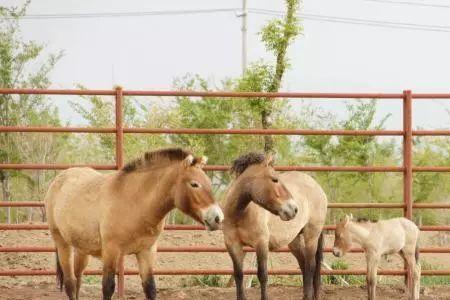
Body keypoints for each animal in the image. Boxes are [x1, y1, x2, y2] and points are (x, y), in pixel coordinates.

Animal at [44, 148, 224, 300]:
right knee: (70, 283)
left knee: (78, 279)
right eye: (194, 184)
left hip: (82, 249)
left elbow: (150, 288)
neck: (134, 202)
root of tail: (59, 178)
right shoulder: (111, 251)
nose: (218, 218)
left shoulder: (146, 251)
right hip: (62, 244)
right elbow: (108, 287)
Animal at [223, 154, 328, 300]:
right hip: (294, 241)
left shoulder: (261, 243)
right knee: (304, 265)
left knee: (310, 266)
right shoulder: (232, 245)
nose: (294, 209)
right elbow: (239, 275)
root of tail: (316, 186)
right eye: (274, 179)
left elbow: (262, 275)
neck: (239, 214)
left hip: (311, 236)